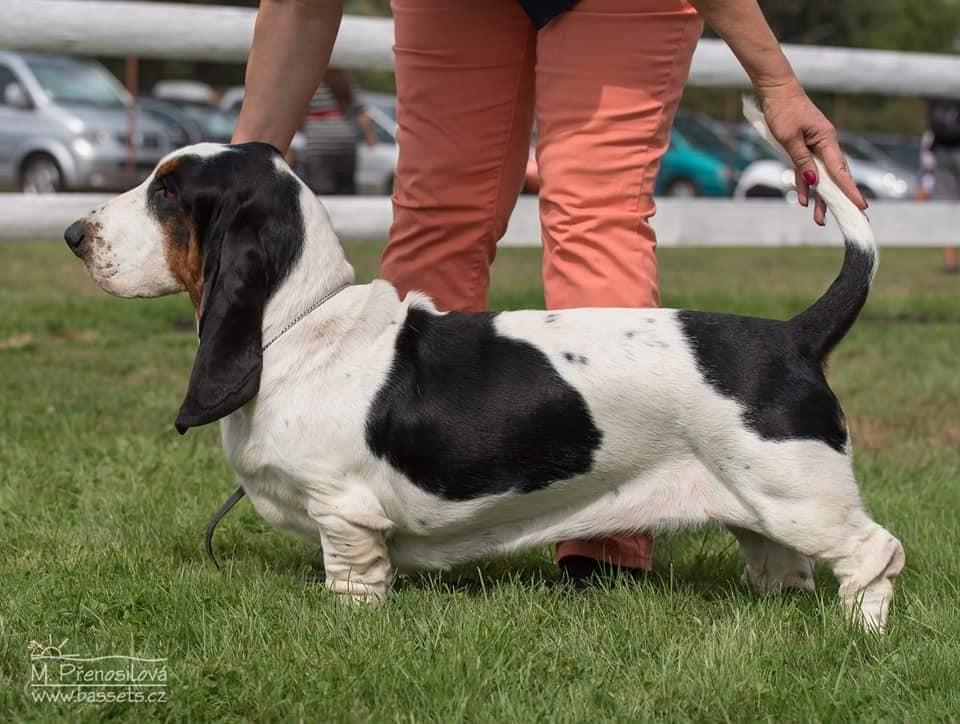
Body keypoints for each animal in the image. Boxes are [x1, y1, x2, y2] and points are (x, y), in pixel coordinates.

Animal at [63, 104, 904, 632]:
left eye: (168, 192)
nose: (74, 234)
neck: (300, 323)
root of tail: (794, 336)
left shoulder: (345, 513)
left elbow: (353, 581)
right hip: (757, 507)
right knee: (785, 567)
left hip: (801, 496)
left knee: (875, 554)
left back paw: (859, 636)